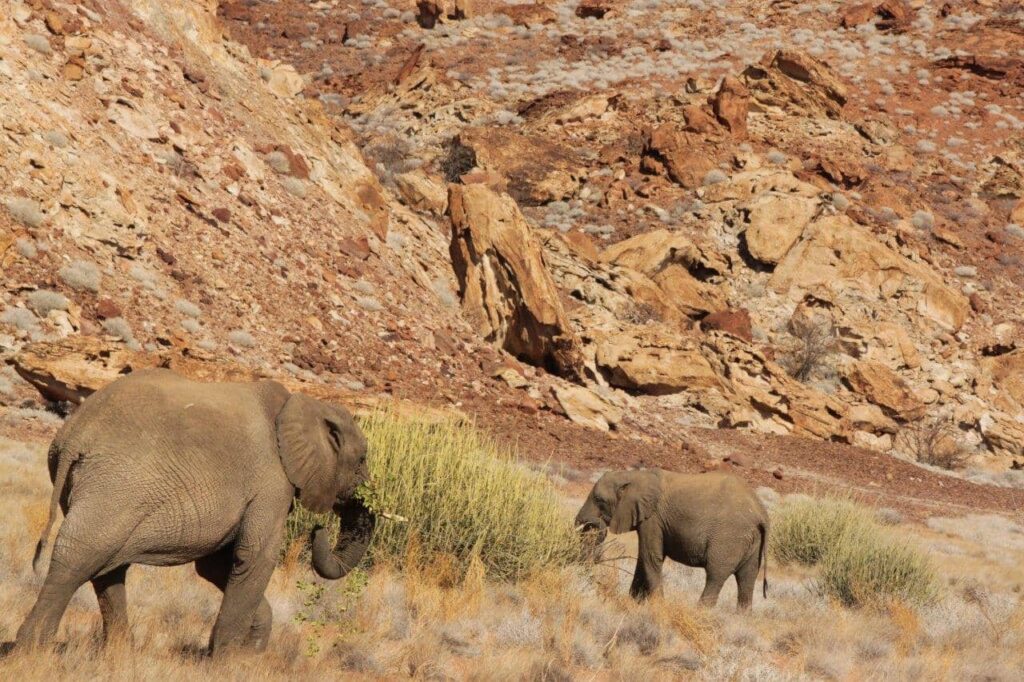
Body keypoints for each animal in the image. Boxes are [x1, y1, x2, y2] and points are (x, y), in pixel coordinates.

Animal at [14, 368, 375, 655]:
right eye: (361, 460)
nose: (318, 530)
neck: (303, 404)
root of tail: (75, 434)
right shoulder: (272, 481)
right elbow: (254, 557)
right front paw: (228, 663)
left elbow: (217, 564)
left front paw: (249, 652)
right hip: (116, 483)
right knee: (78, 556)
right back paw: (29, 651)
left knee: (107, 566)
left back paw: (118, 654)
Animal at [575, 469, 768, 609]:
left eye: (599, 500)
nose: (594, 524)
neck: (635, 475)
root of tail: (761, 513)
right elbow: (643, 559)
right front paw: (634, 602)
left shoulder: (653, 519)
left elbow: (650, 557)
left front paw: (658, 605)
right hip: (752, 542)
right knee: (747, 579)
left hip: (729, 537)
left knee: (716, 575)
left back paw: (699, 612)